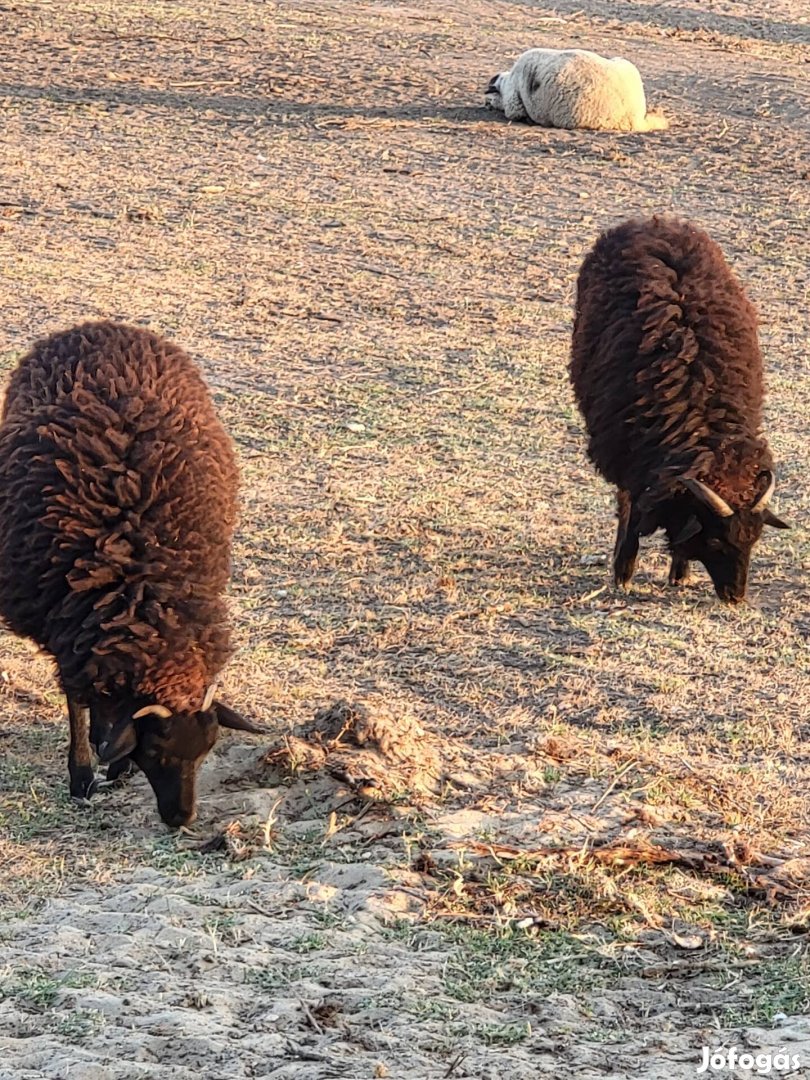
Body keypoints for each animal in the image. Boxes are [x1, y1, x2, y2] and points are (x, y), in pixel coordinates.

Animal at [0, 319, 263, 825]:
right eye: (157, 753)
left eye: (208, 750)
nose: (182, 819)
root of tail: (100, 325)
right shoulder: (69, 630)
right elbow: (79, 703)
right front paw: (83, 775)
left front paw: (115, 765)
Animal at [565, 210, 790, 600]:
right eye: (714, 542)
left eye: (755, 539)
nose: (735, 597)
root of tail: (652, 221)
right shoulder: (630, 456)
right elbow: (631, 508)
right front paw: (623, 571)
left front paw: (680, 572)